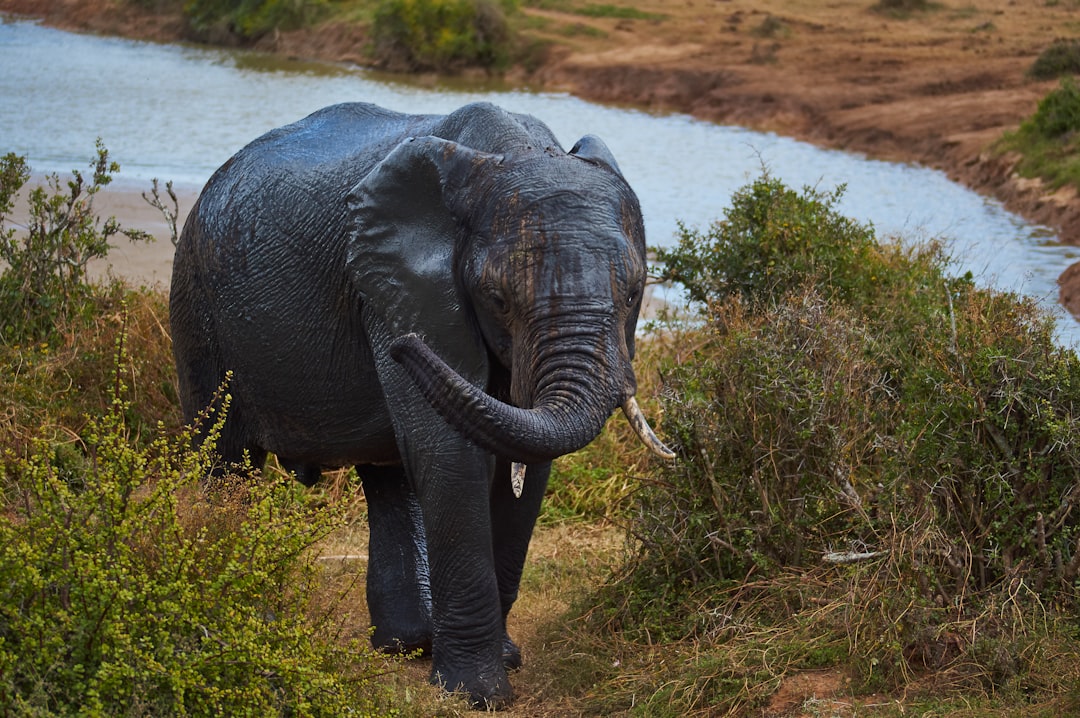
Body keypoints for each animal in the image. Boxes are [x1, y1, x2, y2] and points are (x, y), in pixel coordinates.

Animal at [168, 99, 673, 703]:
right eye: (497, 298)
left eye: (635, 292)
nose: (405, 347)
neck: (514, 150)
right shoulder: (392, 291)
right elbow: (450, 451)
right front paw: (476, 694)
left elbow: (525, 466)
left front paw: (502, 661)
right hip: (195, 301)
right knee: (224, 465)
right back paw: (249, 619)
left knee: (385, 478)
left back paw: (404, 645)